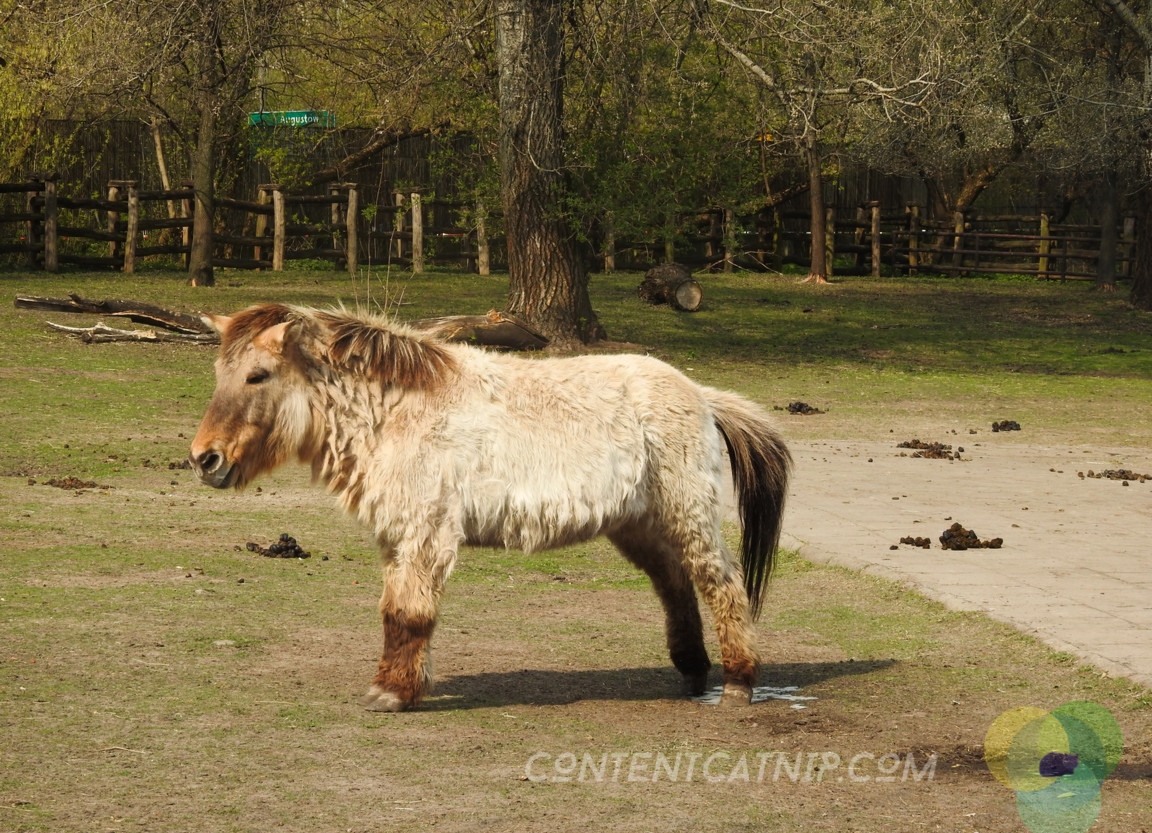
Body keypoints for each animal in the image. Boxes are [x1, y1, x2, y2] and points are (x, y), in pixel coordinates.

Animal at [189, 304, 791, 712]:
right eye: (219, 375)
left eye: (257, 375)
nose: (204, 459)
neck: (399, 411)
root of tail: (702, 396)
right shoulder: (397, 536)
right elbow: (394, 613)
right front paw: (395, 684)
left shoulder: (426, 532)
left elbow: (410, 615)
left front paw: (393, 693)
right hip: (638, 525)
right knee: (675, 585)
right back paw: (691, 675)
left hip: (689, 516)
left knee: (721, 584)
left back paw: (738, 683)